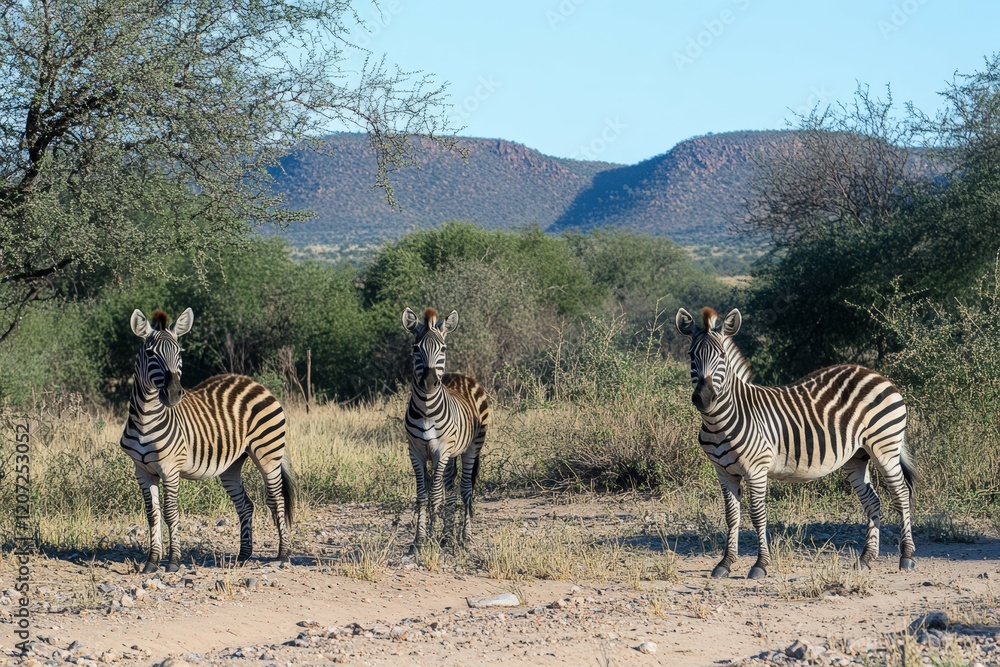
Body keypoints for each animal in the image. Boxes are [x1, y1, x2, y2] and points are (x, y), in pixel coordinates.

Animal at [121, 308, 295, 573]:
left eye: (179, 352)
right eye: (150, 353)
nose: (174, 394)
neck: (145, 421)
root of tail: (253, 382)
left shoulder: (170, 469)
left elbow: (170, 513)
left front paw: (173, 562)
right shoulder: (141, 470)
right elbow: (152, 515)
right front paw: (151, 562)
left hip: (269, 453)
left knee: (276, 501)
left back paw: (283, 555)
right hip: (232, 463)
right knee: (246, 505)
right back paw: (243, 555)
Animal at [401, 307, 490, 549]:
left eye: (443, 349)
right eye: (416, 348)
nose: (429, 382)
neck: (426, 410)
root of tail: (461, 375)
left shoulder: (441, 450)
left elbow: (435, 495)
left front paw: (431, 536)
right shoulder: (415, 451)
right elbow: (423, 494)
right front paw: (420, 539)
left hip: (472, 447)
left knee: (466, 488)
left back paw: (466, 537)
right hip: (452, 453)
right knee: (450, 487)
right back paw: (448, 535)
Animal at [675, 306, 916, 579]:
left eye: (722, 356)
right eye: (691, 355)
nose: (704, 398)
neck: (720, 422)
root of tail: (874, 373)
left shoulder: (756, 469)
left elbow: (757, 515)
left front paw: (760, 564)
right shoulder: (724, 472)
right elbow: (732, 516)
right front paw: (725, 563)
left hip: (885, 446)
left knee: (901, 494)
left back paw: (906, 557)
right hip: (857, 455)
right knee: (873, 501)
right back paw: (865, 559)